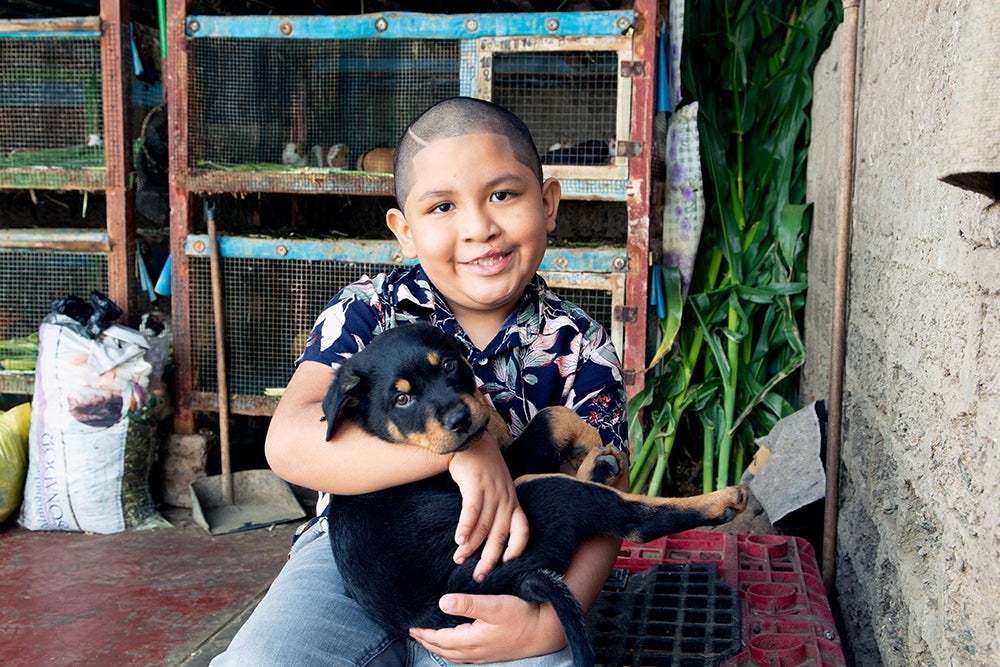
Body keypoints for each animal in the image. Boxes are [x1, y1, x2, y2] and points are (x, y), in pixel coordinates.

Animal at [324, 322, 748, 664]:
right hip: (538, 499)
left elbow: (545, 417)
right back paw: (722, 500)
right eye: (402, 400)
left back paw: (599, 467)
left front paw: (590, 448)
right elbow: (551, 415)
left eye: (447, 365)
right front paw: (590, 438)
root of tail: (509, 584)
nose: (460, 420)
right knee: (634, 520)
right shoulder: (508, 466)